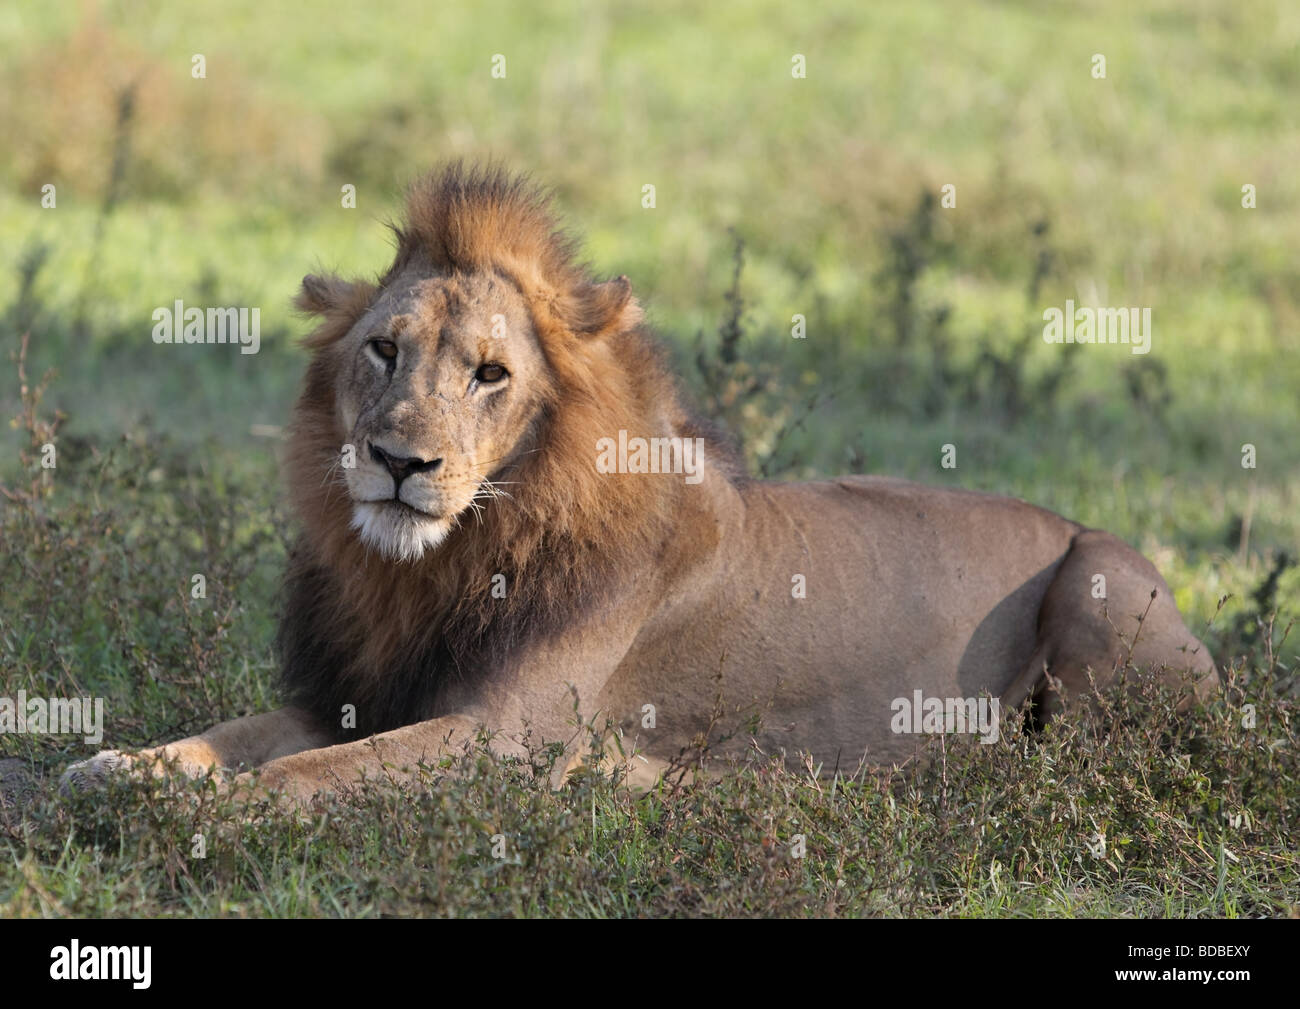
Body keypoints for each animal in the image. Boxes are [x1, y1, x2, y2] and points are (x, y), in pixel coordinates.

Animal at [61, 161, 1216, 800]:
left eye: (490, 373)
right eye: (384, 351)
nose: (397, 461)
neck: (434, 566)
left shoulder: (504, 736)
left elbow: (300, 776)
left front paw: (204, 811)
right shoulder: (351, 693)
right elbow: (234, 735)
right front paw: (124, 770)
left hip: (1102, 576)